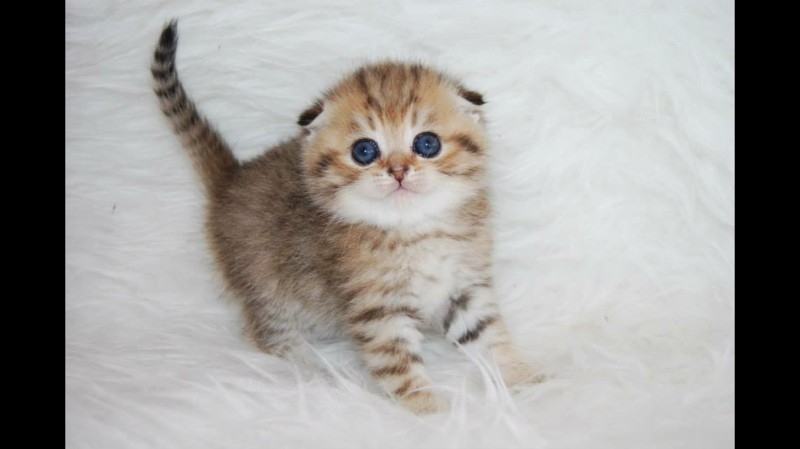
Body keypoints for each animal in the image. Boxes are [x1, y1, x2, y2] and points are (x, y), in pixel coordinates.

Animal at [152, 20, 536, 412]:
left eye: (427, 144)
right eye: (364, 151)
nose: (398, 171)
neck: (414, 229)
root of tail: (232, 178)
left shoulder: (463, 287)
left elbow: (489, 335)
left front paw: (527, 381)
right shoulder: (377, 310)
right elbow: (399, 366)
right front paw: (429, 410)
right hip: (266, 289)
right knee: (269, 337)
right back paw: (311, 368)